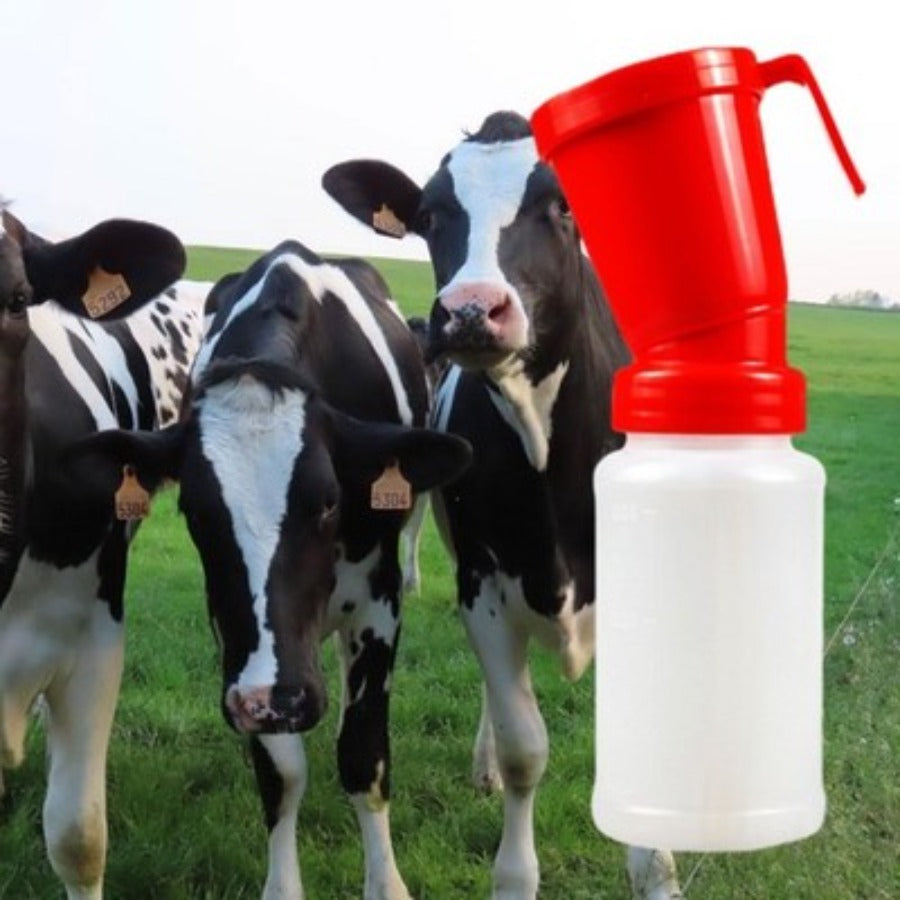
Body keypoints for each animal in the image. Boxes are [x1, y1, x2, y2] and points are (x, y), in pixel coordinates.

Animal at [72, 240, 472, 899]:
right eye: (194, 510)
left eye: (330, 500)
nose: (277, 698)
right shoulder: (235, 635)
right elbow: (281, 773)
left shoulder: (379, 602)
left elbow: (363, 751)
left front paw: (386, 882)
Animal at [322, 111, 683, 900]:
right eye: (429, 215)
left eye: (563, 204)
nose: (469, 312)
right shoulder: (483, 586)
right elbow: (525, 747)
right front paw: (515, 874)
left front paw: (656, 866)